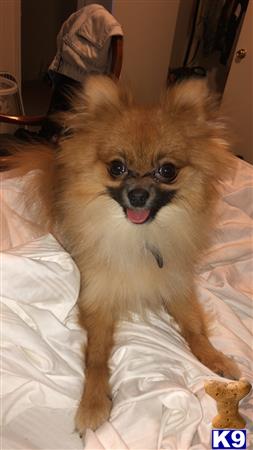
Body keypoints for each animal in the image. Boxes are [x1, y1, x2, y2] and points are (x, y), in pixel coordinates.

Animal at [4, 74, 240, 432]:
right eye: (117, 167)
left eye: (167, 171)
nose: (139, 194)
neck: (139, 237)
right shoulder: (97, 297)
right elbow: (96, 357)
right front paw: (93, 402)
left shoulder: (175, 284)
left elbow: (194, 327)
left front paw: (215, 357)